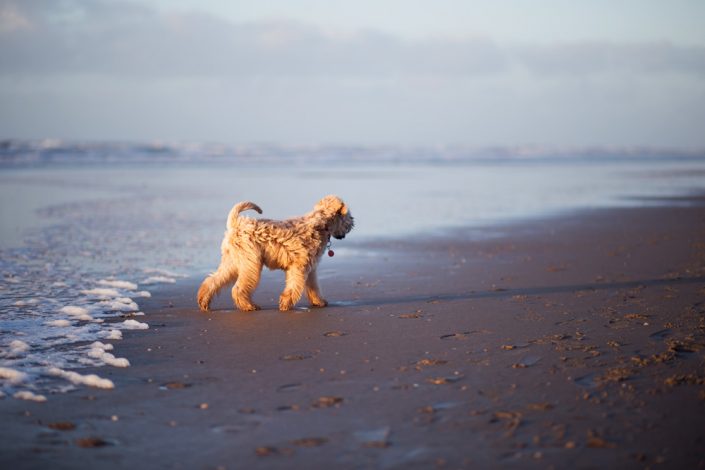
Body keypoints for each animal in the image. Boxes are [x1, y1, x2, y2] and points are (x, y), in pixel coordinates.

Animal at [197, 195, 352, 312]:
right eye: (348, 215)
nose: (352, 224)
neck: (321, 225)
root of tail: (236, 224)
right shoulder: (299, 267)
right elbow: (294, 286)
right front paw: (286, 303)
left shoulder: (310, 269)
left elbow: (313, 287)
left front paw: (318, 301)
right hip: (251, 265)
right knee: (238, 289)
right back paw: (249, 306)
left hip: (232, 263)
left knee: (213, 281)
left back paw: (204, 302)